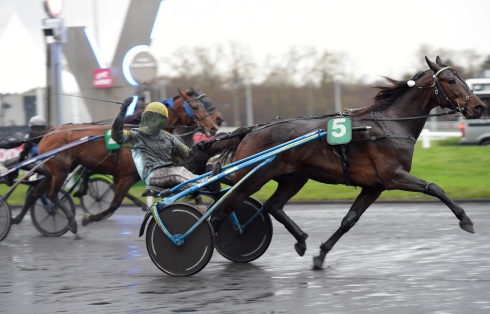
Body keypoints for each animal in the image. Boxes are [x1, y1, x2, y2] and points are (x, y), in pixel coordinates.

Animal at [11, 87, 218, 232]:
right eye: (195, 106)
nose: (214, 126)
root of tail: (51, 130)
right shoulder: (126, 176)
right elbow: (114, 203)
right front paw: (90, 217)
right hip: (60, 170)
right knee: (52, 194)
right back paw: (70, 221)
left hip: (54, 170)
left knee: (36, 193)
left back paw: (21, 218)